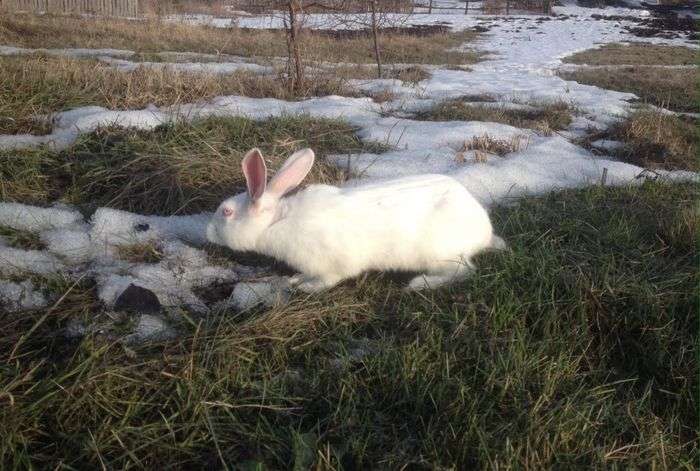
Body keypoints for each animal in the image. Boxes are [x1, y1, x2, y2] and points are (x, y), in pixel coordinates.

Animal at [205, 149, 506, 294]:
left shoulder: (332, 265)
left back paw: (419, 284)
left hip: (441, 255)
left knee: (464, 271)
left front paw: (307, 287)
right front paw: (295, 280)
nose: (207, 232)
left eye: (226, 212)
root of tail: (484, 230)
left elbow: (329, 280)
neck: (276, 222)